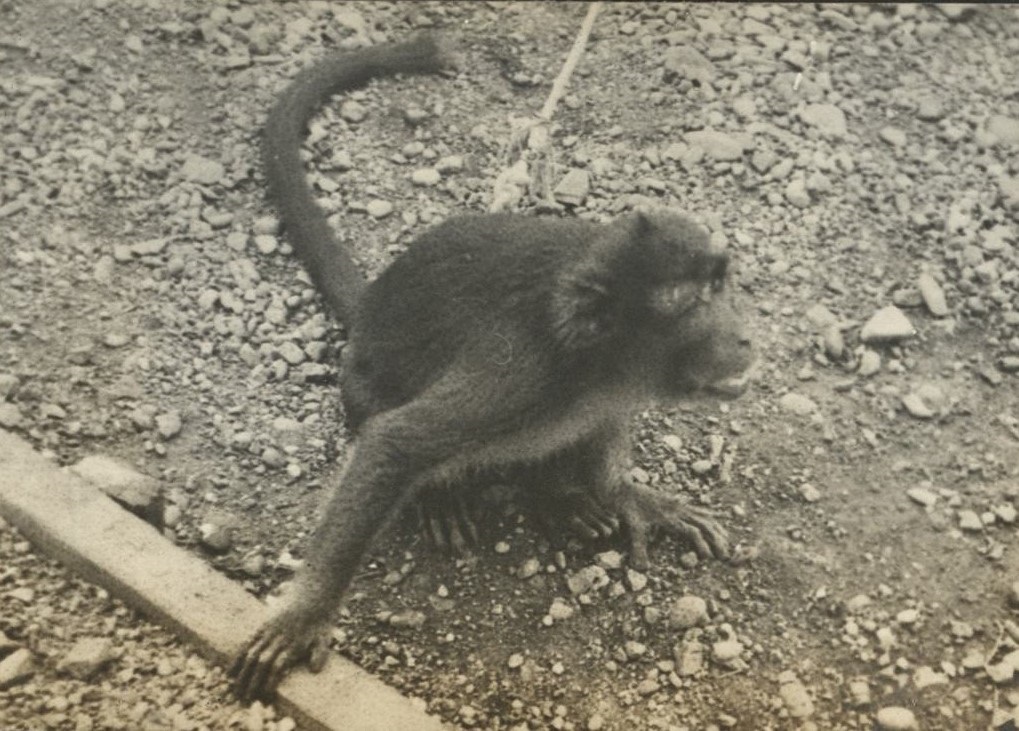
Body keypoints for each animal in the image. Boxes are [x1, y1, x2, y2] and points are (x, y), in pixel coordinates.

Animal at [232, 33, 755, 700]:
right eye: (688, 303)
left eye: (720, 285)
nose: (742, 337)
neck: (597, 361)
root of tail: (368, 307)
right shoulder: (523, 369)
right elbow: (395, 441)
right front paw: (304, 614)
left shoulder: (605, 387)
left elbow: (607, 428)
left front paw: (629, 495)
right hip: (361, 382)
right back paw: (453, 496)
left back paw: (556, 495)